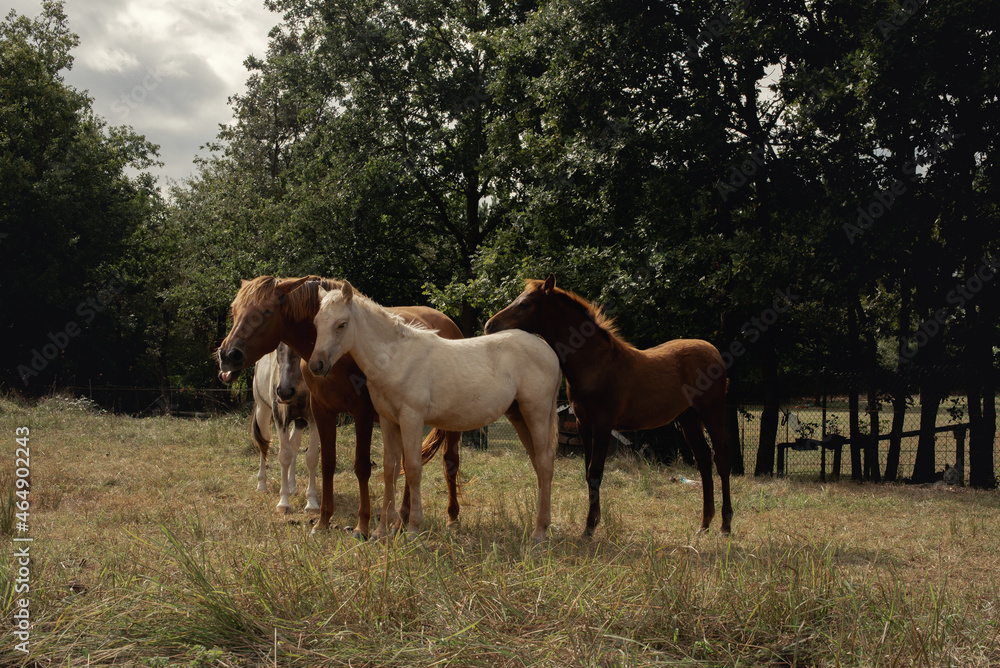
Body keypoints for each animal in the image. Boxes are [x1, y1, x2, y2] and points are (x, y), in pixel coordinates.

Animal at [249, 343, 320, 514]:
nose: (285, 391)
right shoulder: (281, 418)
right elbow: (284, 456)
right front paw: (284, 502)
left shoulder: (313, 419)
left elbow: (311, 457)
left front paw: (311, 502)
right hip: (263, 411)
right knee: (264, 444)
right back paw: (262, 484)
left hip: (299, 421)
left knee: (293, 445)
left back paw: (292, 485)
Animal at [309, 281, 561, 542]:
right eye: (316, 323)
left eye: (341, 324)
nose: (316, 365)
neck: (397, 358)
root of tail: (549, 353)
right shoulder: (389, 422)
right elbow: (390, 469)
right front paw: (381, 531)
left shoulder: (411, 419)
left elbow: (412, 469)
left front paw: (412, 529)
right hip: (520, 417)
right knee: (539, 463)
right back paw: (543, 526)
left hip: (536, 414)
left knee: (544, 462)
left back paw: (539, 531)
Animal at [485, 274, 732, 536]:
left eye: (524, 303)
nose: (490, 325)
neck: (596, 363)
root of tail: (714, 351)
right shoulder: (583, 424)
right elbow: (587, 472)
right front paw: (593, 521)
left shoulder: (602, 425)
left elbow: (595, 472)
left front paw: (590, 527)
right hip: (688, 418)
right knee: (703, 460)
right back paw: (704, 523)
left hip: (712, 412)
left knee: (721, 460)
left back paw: (725, 525)